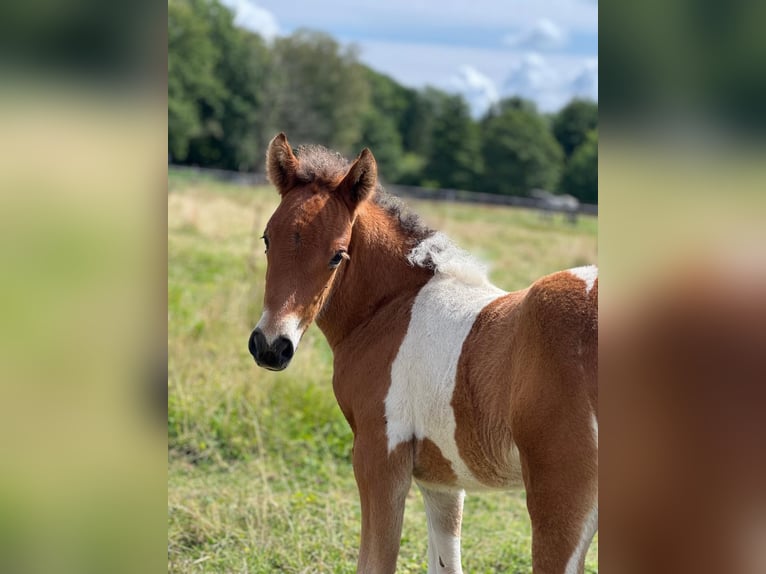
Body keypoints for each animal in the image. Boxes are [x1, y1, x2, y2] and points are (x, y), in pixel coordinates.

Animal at [248, 133, 598, 574]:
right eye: (267, 239)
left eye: (337, 255)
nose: (270, 346)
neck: (391, 306)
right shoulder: (441, 478)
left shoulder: (379, 455)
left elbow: (375, 562)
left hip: (561, 495)